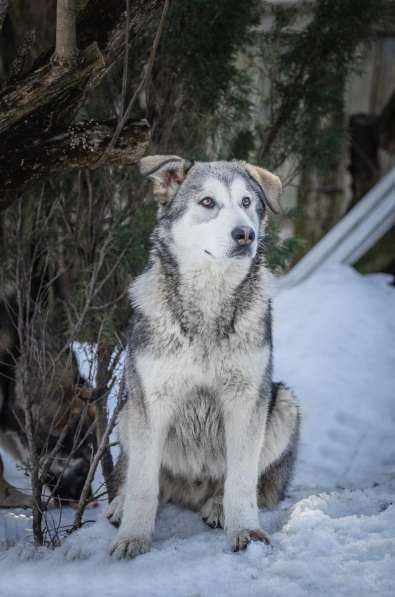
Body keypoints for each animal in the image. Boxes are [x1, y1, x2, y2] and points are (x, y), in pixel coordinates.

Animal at [107, 156, 300, 556]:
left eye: (247, 202)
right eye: (208, 202)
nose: (245, 235)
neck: (209, 306)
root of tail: (191, 492)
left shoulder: (246, 399)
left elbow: (241, 482)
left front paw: (246, 533)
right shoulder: (152, 399)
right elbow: (143, 485)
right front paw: (133, 538)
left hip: (284, 404)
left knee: (251, 485)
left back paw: (217, 506)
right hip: (128, 409)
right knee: (139, 477)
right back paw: (120, 503)